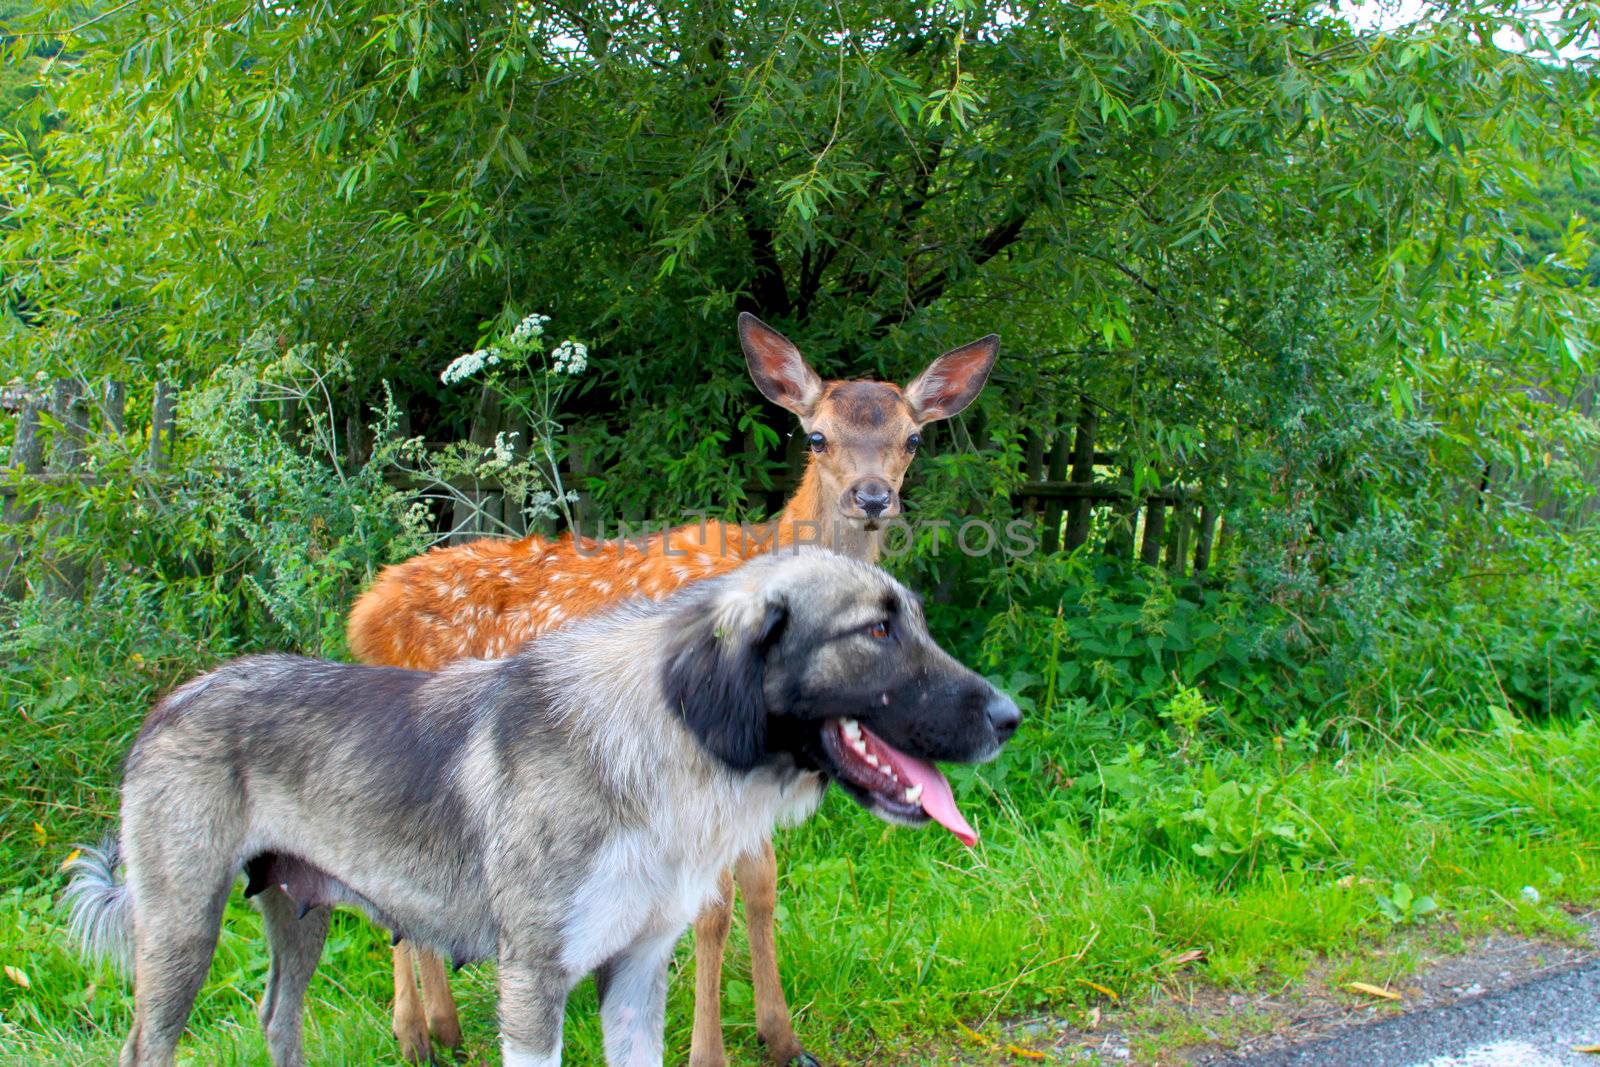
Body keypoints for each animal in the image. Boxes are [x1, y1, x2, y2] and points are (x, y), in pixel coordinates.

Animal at [68, 550, 1017, 1067]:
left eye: (914, 621)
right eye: (877, 631)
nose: (1010, 717)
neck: (655, 743)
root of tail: (169, 703)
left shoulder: (635, 977)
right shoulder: (533, 985)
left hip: (299, 916)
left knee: (276, 1019)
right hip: (182, 931)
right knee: (144, 1044)